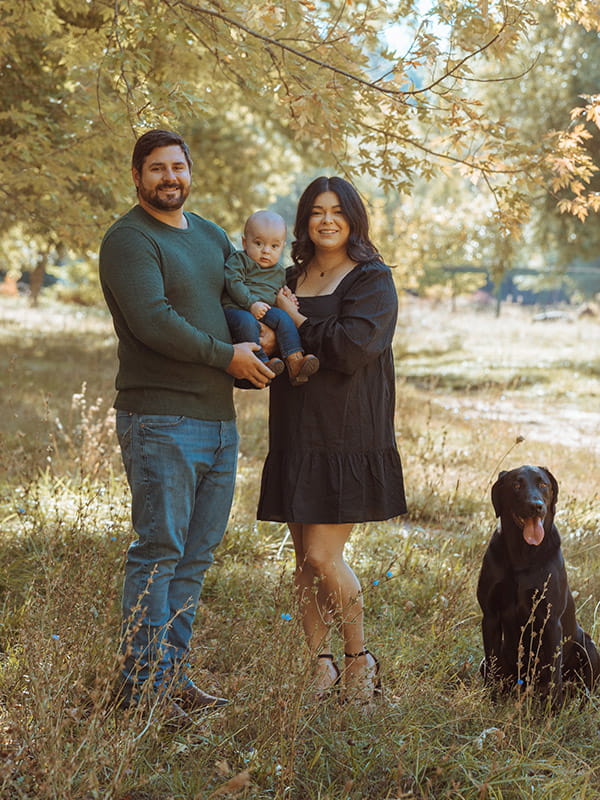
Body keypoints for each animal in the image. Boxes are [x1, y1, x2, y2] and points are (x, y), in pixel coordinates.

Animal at [476, 466, 596, 704]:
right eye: (516, 485)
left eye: (543, 485)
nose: (536, 506)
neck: (523, 555)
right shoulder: (490, 616)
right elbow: (493, 662)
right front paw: (491, 698)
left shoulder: (551, 621)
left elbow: (553, 676)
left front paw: (552, 709)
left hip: (589, 647)